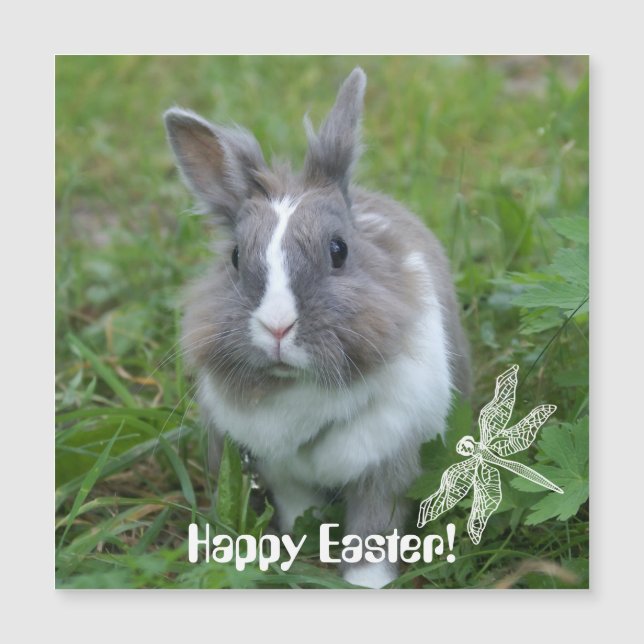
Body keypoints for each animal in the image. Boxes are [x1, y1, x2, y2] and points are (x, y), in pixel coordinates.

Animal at [164, 67, 471, 588]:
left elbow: (373, 532)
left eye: (338, 250)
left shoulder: (388, 467)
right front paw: (300, 545)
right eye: (235, 258)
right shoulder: (281, 473)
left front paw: (367, 585)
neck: (302, 391)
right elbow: (297, 509)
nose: (277, 328)